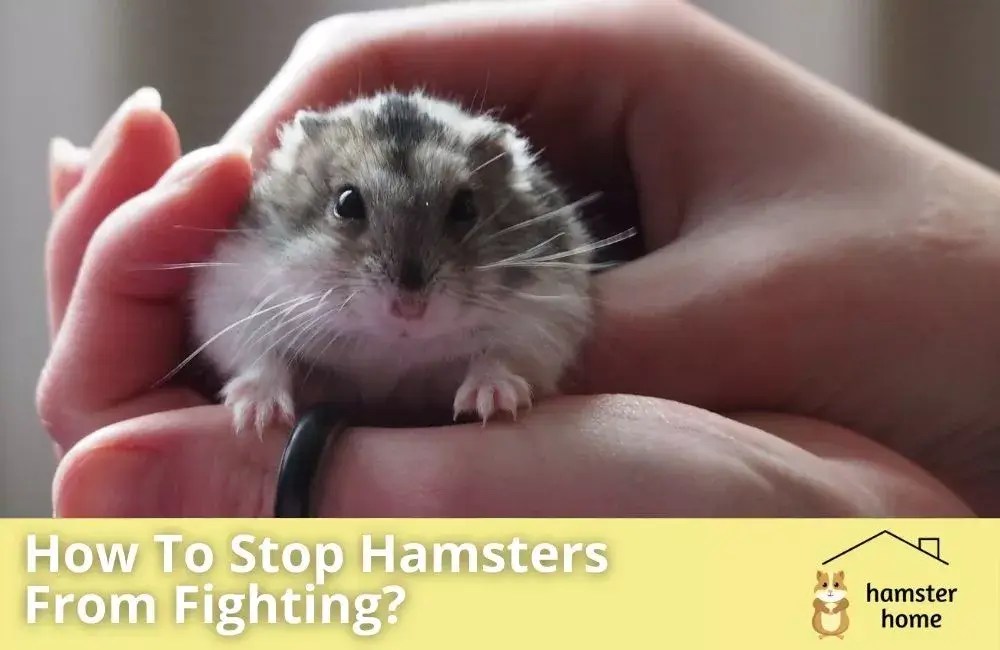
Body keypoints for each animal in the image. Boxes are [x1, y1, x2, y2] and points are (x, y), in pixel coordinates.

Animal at [186, 90, 624, 435]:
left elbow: (500, 353)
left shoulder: (549, 315)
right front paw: (257, 417)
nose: (409, 310)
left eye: (466, 207)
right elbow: (261, 355)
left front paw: (494, 402)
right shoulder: (233, 298)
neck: (391, 347)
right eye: (346, 203)